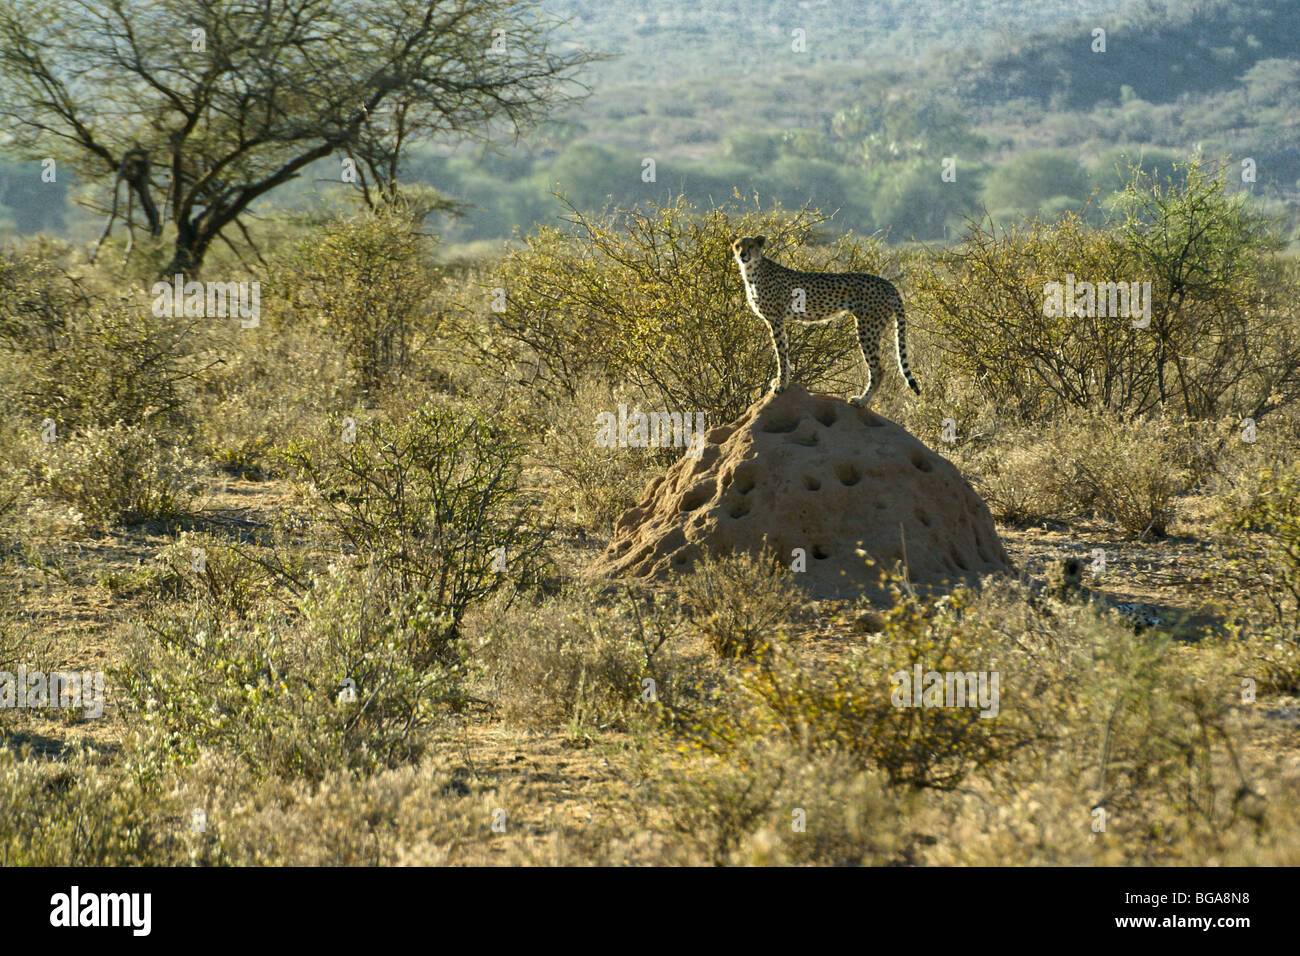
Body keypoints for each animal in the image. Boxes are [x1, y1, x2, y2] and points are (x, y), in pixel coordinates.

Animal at [733, 238, 925, 408]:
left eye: (751, 246)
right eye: (737, 246)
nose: (743, 254)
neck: (752, 270)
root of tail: (888, 284)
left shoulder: (775, 319)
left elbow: (780, 352)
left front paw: (781, 384)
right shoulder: (776, 321)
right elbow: (784, 351)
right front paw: (781, 380)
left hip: (868, 328)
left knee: (878, 370)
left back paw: (861, 401)